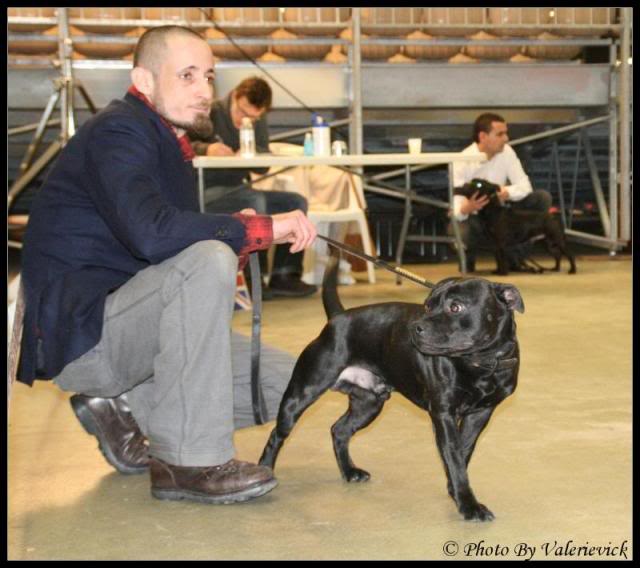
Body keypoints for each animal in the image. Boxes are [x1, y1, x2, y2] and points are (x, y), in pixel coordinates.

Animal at [260, 254, 524, 524]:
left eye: (455, 307)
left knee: (339, 430)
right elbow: (455, 456)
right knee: (277, 435)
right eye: (427, 306)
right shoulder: (443, 415)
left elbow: (463, 451)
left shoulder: (480, 414)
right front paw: (469, 505)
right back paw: (265, 471)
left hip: (369, 404)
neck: (482, 362)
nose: (416, 327)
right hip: (300, 395)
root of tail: (337, 318)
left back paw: (350, 471)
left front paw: (455, 490)